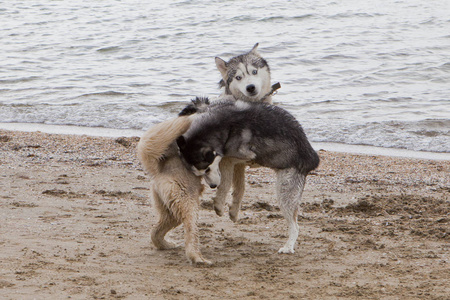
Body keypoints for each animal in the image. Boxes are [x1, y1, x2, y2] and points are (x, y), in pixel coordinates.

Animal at [136, 115, 212, 264]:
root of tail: (160, 170)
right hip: (187, 202)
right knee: (191, 231)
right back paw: (198, 258)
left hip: (171, 209)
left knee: (156, 232)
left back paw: (166, 245)